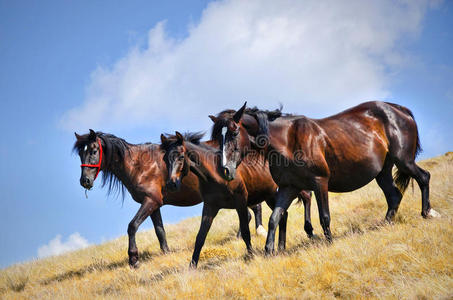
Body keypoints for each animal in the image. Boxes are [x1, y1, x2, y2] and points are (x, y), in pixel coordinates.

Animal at [72, 129, 264, 268]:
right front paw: (166, 253)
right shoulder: (154, 205)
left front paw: (134, 259)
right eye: (81, 154)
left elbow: (132, 226)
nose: (84, 181)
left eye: (94, 151)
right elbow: (160, 231)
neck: (140, 165)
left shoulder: (151, 201)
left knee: (253, 210)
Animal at [159, 131, 310, 268]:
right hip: (271, 195)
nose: (171, 184)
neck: (217, 175)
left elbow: (245, 231)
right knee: (283, 214)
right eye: (165, 159)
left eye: (181, 156)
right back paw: (280, 247)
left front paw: (250, 255)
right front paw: (193, 265)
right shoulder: (210, 207)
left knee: (306, 197)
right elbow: (200, 236)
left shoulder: (240, 203)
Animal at [211, 102, 438, 254]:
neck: (288, 140)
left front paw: (329, 243)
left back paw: (427, 212)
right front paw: (269, 251)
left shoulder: (320, 182)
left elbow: (324, 216)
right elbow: (274, 218)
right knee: (394, 196)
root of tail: (400, 110)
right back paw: (386, 223)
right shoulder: (288, 188)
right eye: (219, 137)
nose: (225, 170)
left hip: (403, 160)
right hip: (382, 171)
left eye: (233, 133)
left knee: (424, 177)